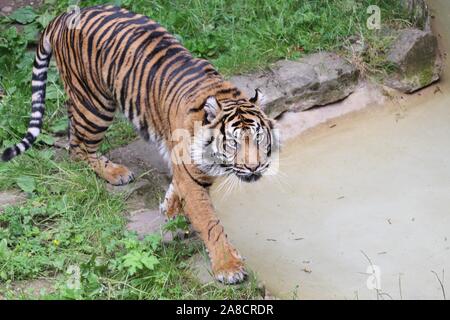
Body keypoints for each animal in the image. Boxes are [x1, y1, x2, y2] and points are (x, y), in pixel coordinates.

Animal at [1, 5, 278, 284]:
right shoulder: (193, 177)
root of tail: (63, 16)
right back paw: (115, 172)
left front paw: (170, 209)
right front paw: (228, 266)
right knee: (77, 147)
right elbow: (210, 223)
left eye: (258, 138)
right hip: (94, 103)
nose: (254, 168)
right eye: (232, 143)